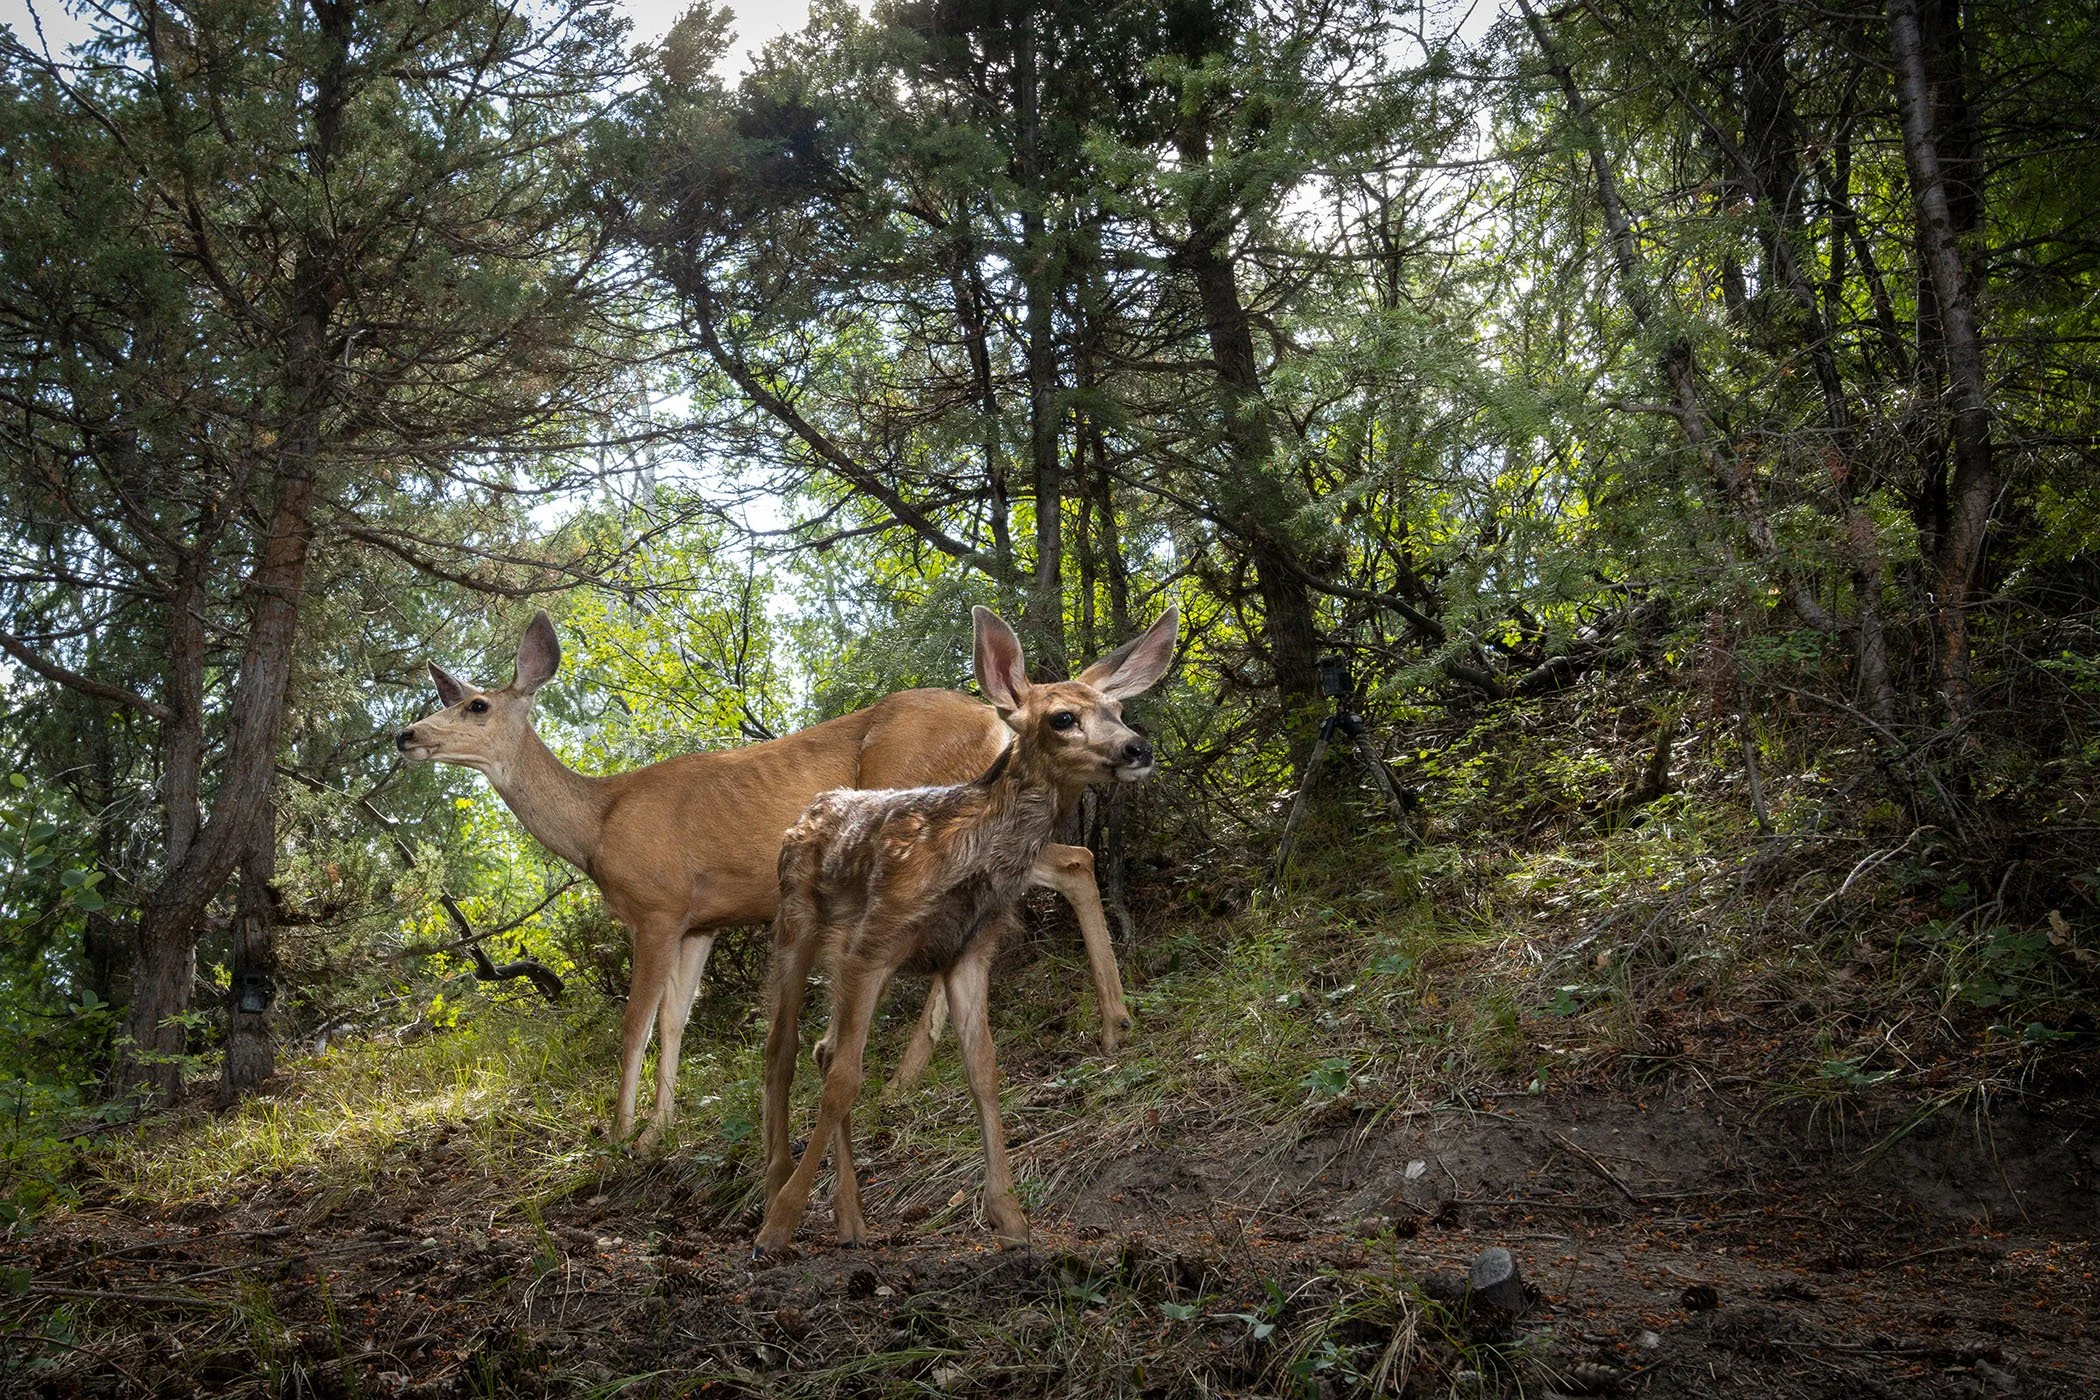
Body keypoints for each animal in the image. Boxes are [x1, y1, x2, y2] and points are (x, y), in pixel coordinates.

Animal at [395, 610, 1151, 1146]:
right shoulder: (700, 920)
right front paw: (661, 1128)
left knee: (1069, 863)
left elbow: (634, 1024)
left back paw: (1099, 1028)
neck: (597, 822)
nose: (407, 735)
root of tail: (998, 723)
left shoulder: (655, 907)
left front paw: (617, 1134)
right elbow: (675, 1020)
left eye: (476, 706)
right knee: (1049, 876)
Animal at [755, 604, 1177, 1253]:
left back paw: (852, 1220)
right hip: (797, 924)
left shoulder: (967, 951)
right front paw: (781, 1222)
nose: (1138, 747)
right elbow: (847, 1078)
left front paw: (1010, 1217)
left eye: (1118, 711)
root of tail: (810, 809)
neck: (967, 854)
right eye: (1062, 718)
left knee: (822, 1049)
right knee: (784, 1048)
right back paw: (776, 1191)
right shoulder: (875, 942)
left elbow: (983, 1071)